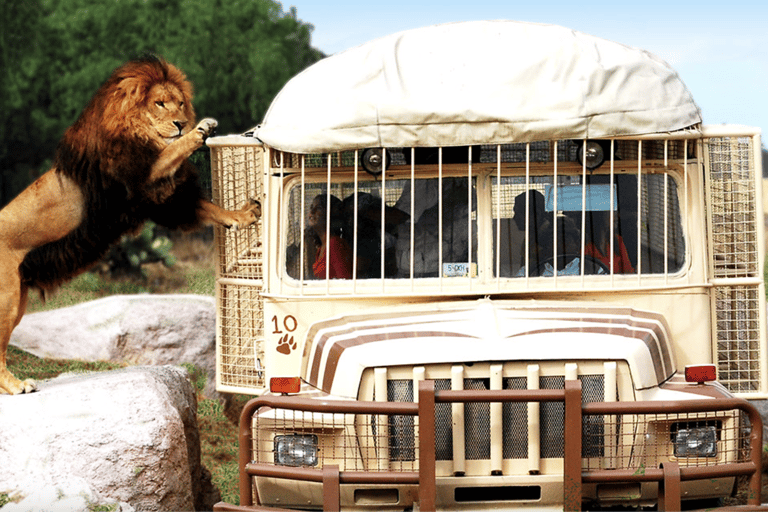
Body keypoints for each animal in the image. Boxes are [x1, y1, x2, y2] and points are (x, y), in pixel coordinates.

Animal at [0, 56, 260, 394]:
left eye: (179, 103)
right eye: (160, 103)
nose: (180, 123)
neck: (137, 131)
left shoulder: (158, 198)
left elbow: (209, 208)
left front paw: (241, 216)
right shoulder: (140, 177)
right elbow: (173, 151)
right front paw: (199, 130)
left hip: (18, 301)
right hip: (6, 299)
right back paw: (16, 385)